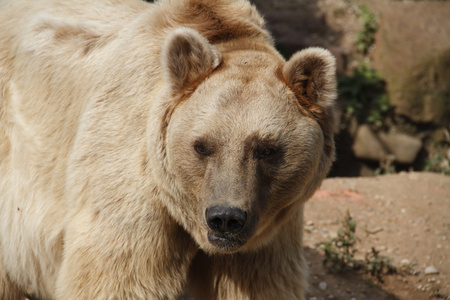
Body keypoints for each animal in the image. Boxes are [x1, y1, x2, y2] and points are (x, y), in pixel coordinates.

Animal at [0, 0, 338, 298]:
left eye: (267, 149)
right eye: (202, 146)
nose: (225, 217)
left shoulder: (266, 228)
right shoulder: (131, 174)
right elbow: (117, 277)